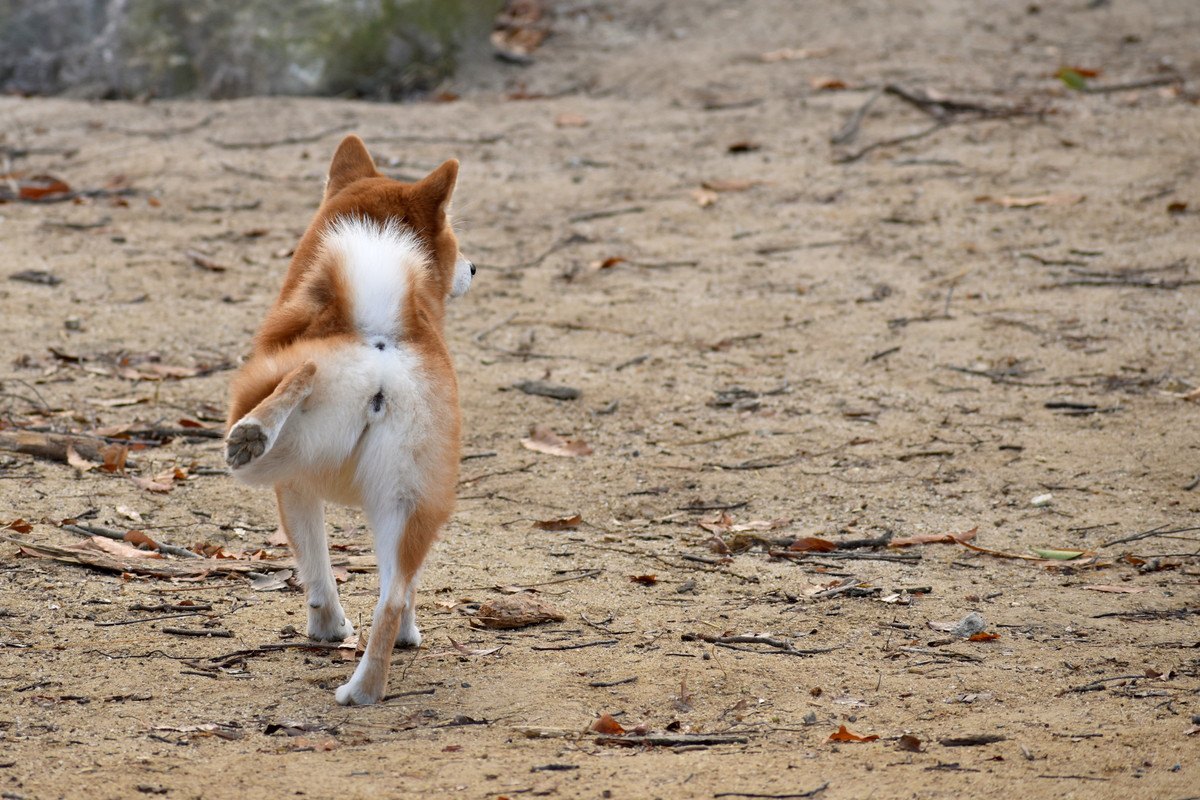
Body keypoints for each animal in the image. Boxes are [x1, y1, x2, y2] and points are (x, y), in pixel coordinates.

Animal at [225, 137, 472, 705]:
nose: (475, 268)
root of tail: (379, 339)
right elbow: (399, 592)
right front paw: (407, 636)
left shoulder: (294, 489)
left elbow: (316, 570)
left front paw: (327, 627)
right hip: (407, 502)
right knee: (392, 597)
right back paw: (364, 689)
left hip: (275, 445)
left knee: (298, 379)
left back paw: (254, 430)